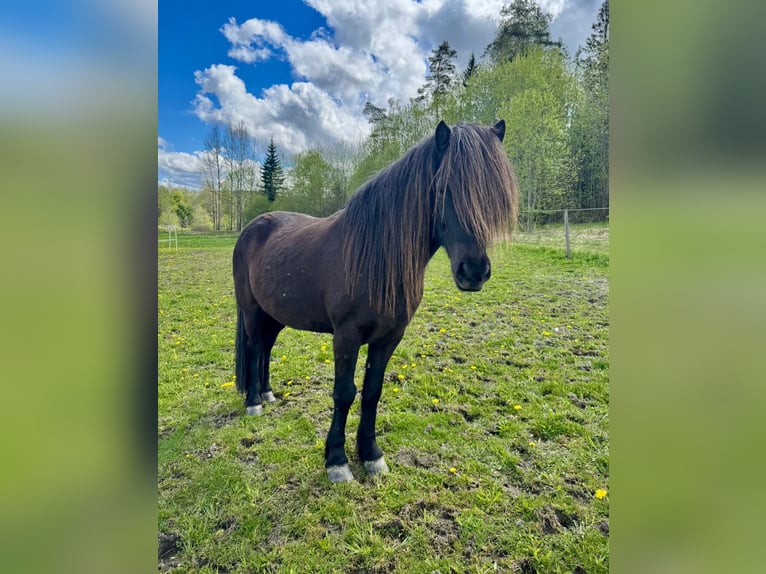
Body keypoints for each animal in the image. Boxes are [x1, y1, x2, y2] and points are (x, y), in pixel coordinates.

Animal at [232, 120, 518, 483]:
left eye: (494, 193)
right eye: (443, 188)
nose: (475, 271)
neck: (376, 255)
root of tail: (251, 228)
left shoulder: (389, 337)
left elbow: (372, 392)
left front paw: (371, 456)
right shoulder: (346, 336)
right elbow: (344, 393)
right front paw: (337, 461)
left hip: (275, 315)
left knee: (267, 348)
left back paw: (269, 394)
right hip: (252, 311)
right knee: (256, 347)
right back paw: (254, 402)